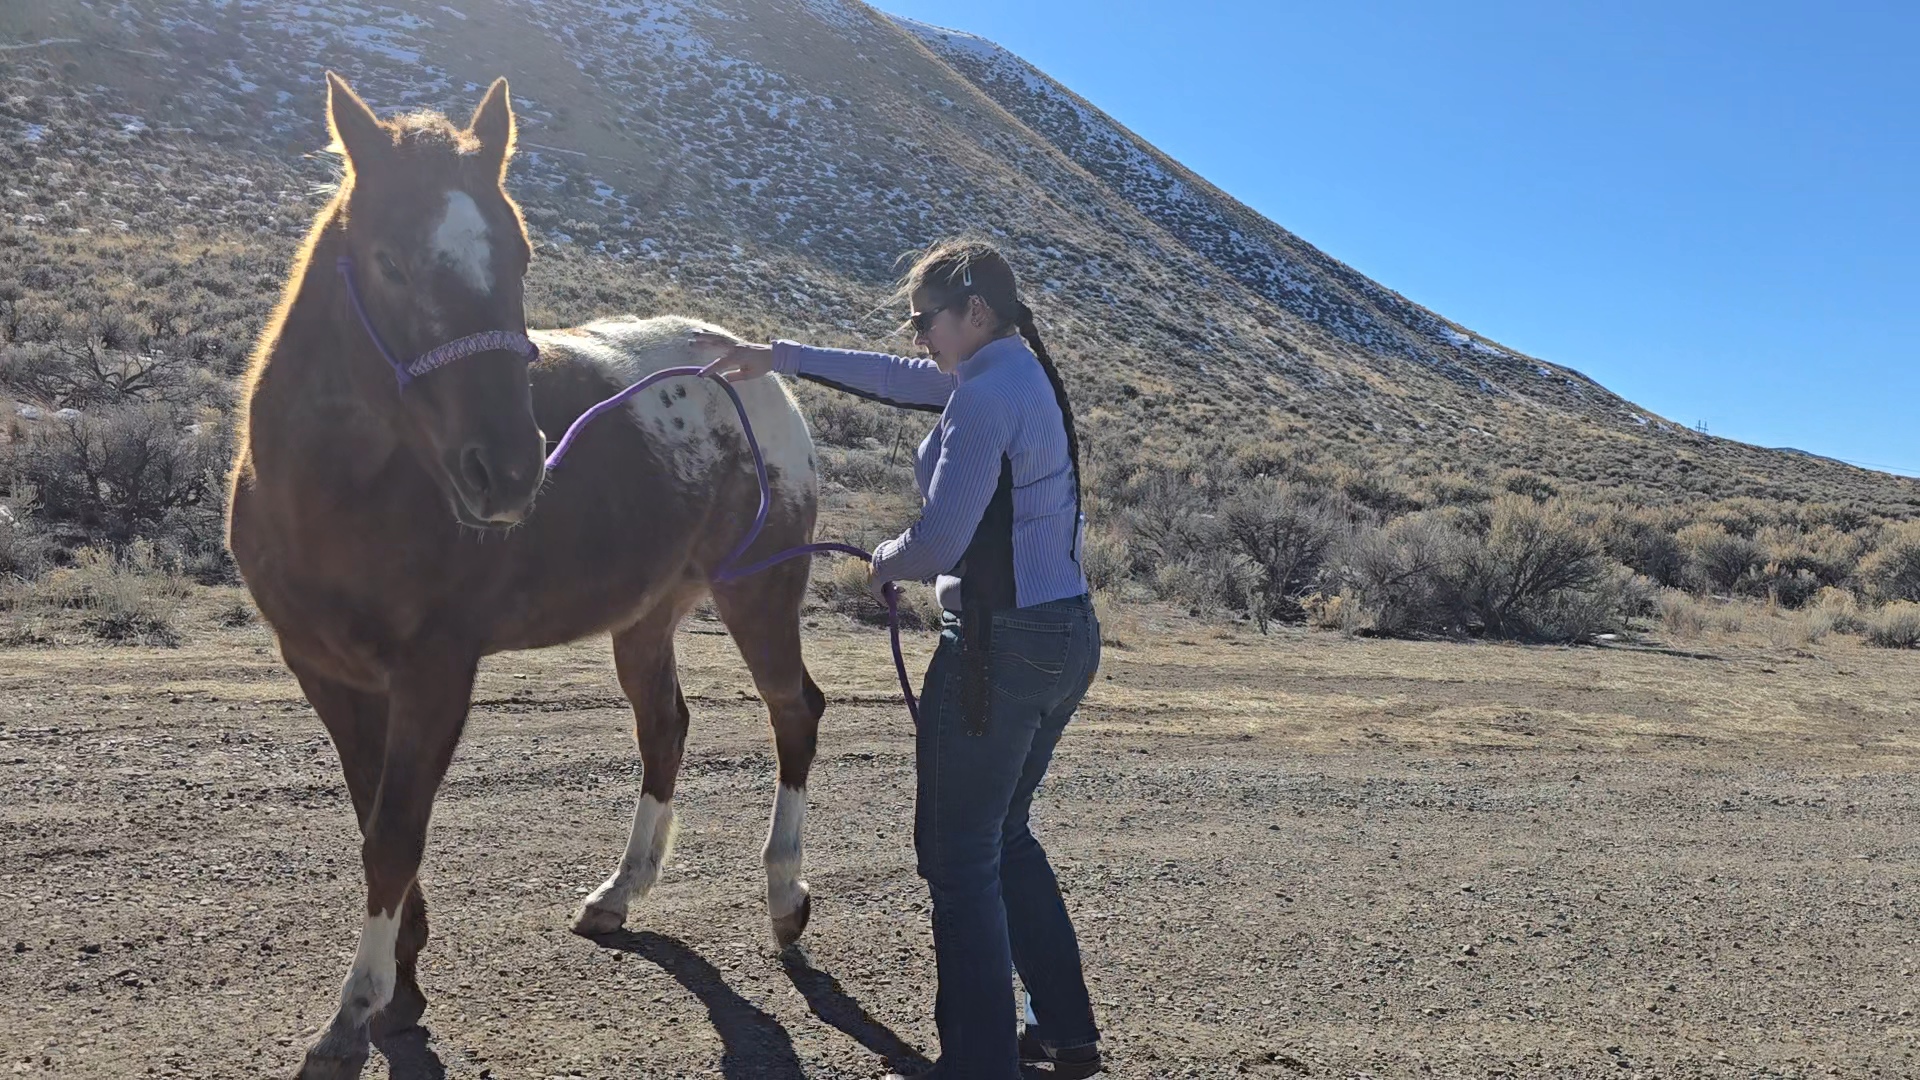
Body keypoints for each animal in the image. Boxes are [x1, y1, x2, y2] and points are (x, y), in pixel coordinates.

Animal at [226, 73, 826, 1079]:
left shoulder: (436, 672)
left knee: (794, 710)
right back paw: (620, 894)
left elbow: (394, 831)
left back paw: (784, 897)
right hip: (646, 616)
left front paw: (355, 1011)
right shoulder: (325, 671)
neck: (332, 494)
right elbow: (373, 815)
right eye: (388, 262)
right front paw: (404, 976)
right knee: (665, 726)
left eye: (520, 254)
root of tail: (751, 369)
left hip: (758, 594)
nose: (508, 471)